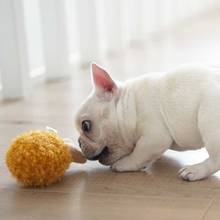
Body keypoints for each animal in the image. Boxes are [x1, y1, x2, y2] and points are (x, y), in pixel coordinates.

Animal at [75, 62, 220, 181]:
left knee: (216, 159)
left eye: (86, 126)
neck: (129, 105)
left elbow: (139, 154)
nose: (79, 142)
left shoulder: (154, 138)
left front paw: (123, 164)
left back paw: (195, 170)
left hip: (209, 122)